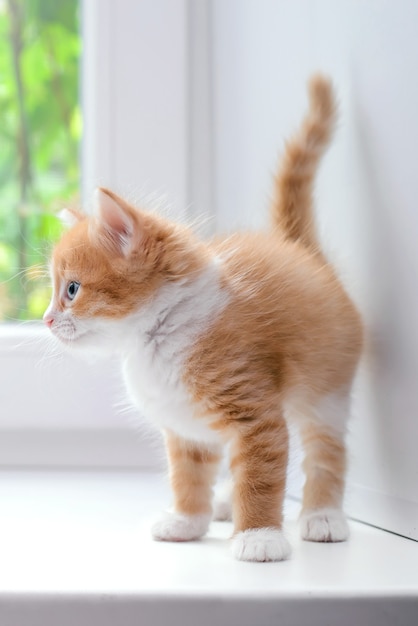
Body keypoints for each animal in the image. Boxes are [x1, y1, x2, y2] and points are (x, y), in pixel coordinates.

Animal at [43, 74, 362, 560]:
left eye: (72, 290)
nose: (45, 319)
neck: (157, 336)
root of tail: (301, 250)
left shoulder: (255, 413)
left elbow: (261, 476)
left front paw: (259, 536)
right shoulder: (185, 427)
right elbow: (189, 476)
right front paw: (187, 522)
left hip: (325, 387)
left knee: (326, 451)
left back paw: (321, 516)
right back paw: (227, 503)